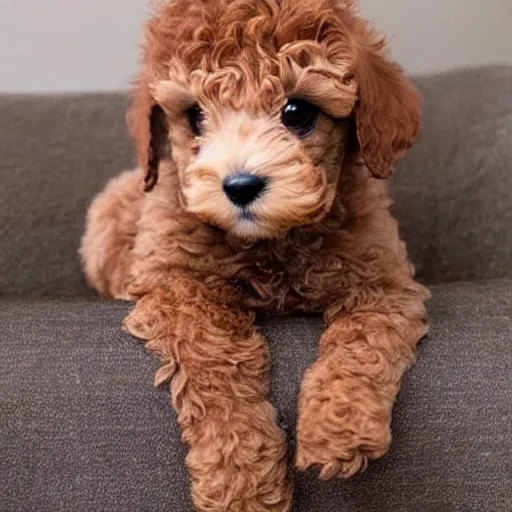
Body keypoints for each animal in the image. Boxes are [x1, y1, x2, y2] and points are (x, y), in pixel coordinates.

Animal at [81, 2, 428, 510]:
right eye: (195, 115)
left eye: (297, 112)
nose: (240, 186)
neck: (270, 243)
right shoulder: (174, 283)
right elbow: (214, 363)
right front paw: (241, 483)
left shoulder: (383, 280)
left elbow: (364, 342)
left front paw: (337, 430)